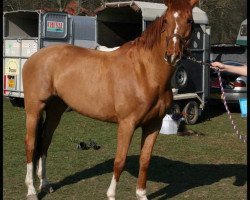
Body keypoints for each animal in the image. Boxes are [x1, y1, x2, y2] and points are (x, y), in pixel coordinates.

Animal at [23, 0, 198, 199]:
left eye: (190, 20)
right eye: (166, 20)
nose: (172, 55)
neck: (145, 72)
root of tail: (35, 57)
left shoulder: (154, 124)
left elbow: (145, 160)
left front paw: (141, 194)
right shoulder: (127, 124)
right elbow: (119, 161)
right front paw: (111, 194)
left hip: (55, 110)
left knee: (44, 142)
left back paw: (45, 184)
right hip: (34, 110)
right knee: (31, 145)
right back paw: (31, 190)